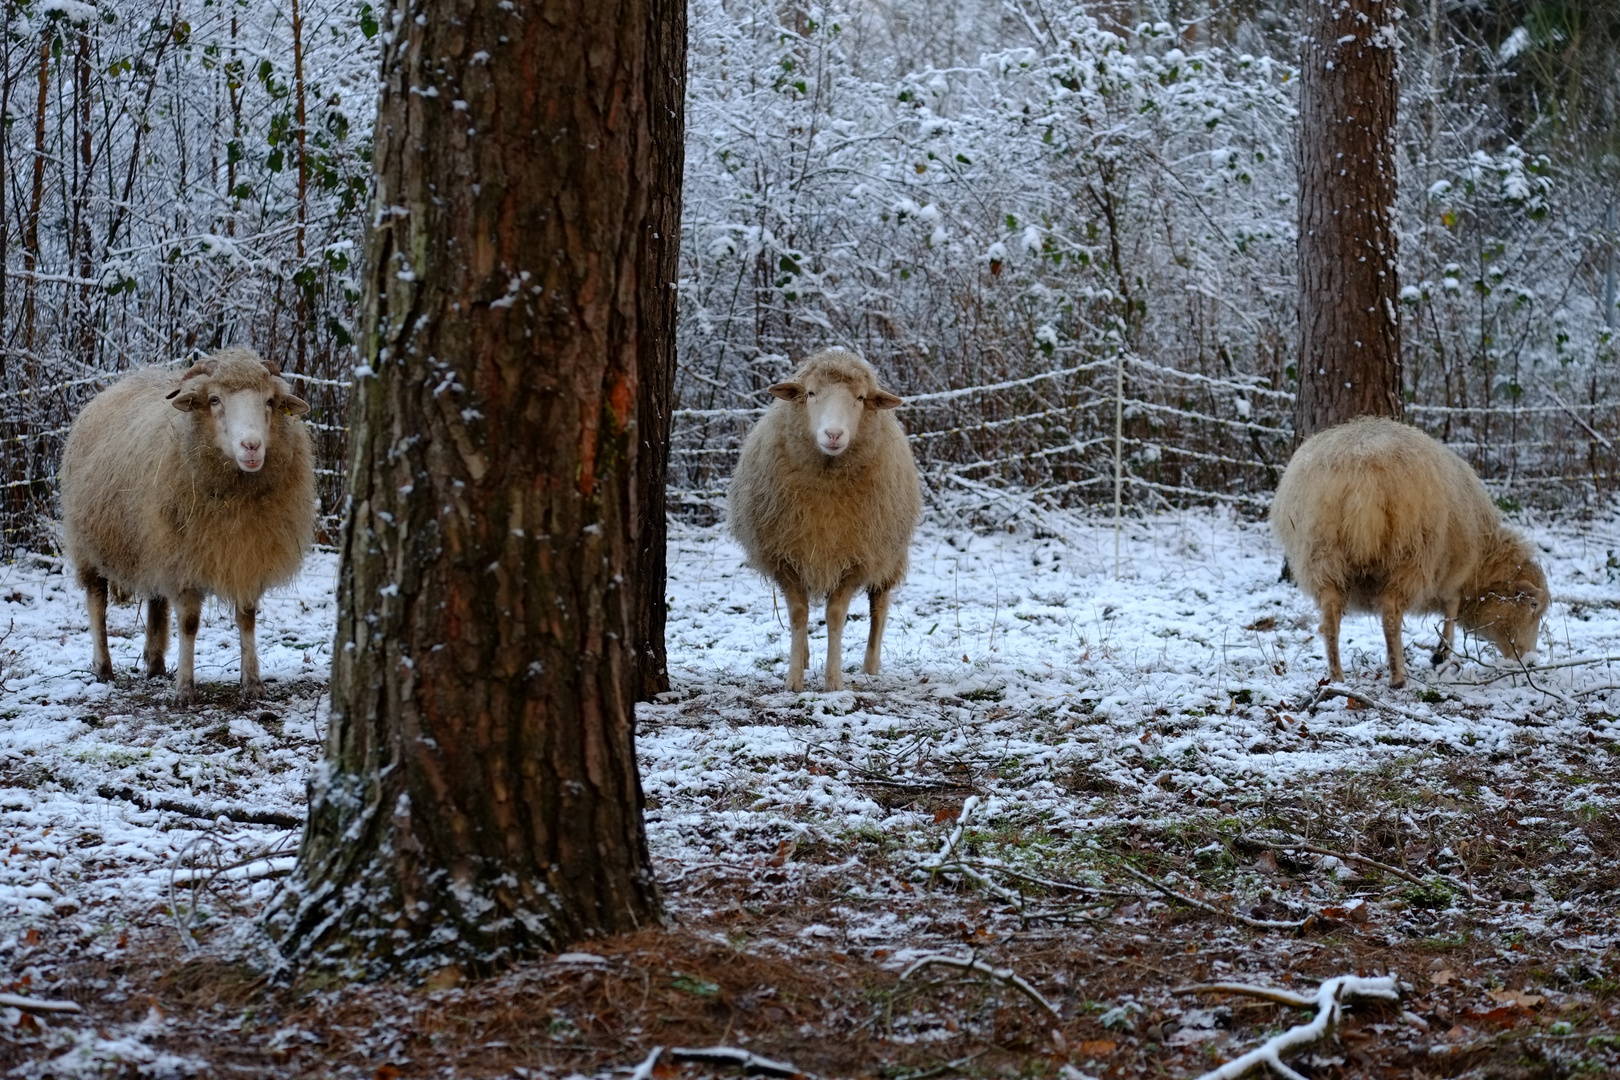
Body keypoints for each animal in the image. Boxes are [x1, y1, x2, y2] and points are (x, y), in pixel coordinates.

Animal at [59, 346, 315, 702]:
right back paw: (103, 668)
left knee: (155, 599)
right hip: (91, 543)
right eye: (214, 400)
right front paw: (184, 689)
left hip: (154, 541)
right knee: (96, 601)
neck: (234, 494)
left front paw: (252, 683)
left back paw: (155, 664)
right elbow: (190, 623)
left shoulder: (246, 557)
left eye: (268, 401)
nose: (251, 446)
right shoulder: (185, 561)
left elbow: (247, 618)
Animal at [725, 351, 920, 696]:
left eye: (860, 398)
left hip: (889, 554)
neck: (828, 480)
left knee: (879, 607)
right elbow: (798, 614)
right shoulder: (785, 558)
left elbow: (835, 616)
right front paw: (793, 681)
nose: (833, 435)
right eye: (811, 393)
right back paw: (803, 657)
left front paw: (834, 681)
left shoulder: (855, 560)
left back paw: (871, 667)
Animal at [1270, 417, 1548, 689]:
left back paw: (1337, 677)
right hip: (1409, 555)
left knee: (1330, 620)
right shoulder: (1453, 574)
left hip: (1322, 555)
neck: (1484, 562)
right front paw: (1441, 654)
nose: (1529, 660)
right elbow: (1451, 610)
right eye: (1533, 605)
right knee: (1391, 615)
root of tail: (1361, 475)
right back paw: (1398, 677)